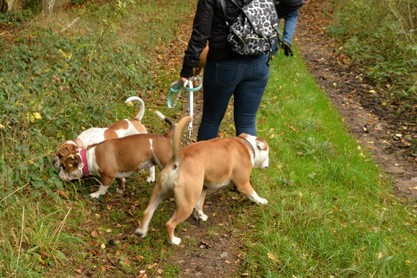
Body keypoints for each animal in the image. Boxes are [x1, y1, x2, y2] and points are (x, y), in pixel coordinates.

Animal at [135, 115, 268, 245]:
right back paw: (174, 240)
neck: (246, 145)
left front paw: (200, 215)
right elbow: (253, 194)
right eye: (268, 153)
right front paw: (261, 201)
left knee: (147, 212)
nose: (268, 164)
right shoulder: (243, 184)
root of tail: (179, 158)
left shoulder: (203, 188)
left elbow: (199, 204)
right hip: (186, 204)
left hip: (160, 191)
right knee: (170, 223)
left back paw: (141, 231)